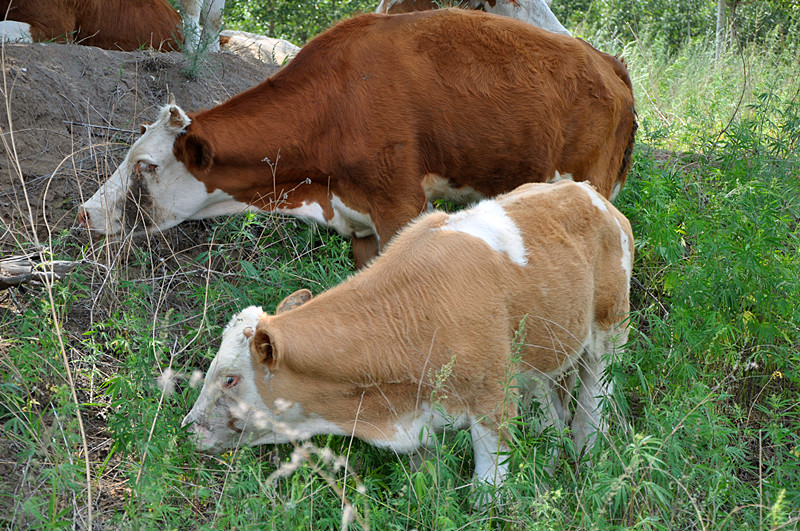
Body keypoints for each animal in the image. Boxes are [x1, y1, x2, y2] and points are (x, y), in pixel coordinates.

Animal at [184, 181, 636, 500]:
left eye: (229, 379)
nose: (188, 427)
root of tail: (584, 190)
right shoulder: (418, 428)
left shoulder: (493, 406)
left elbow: (488, 493)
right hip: (540, 354)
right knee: (548, 405)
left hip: (609, 333)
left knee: (594, 402)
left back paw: (588, 455)